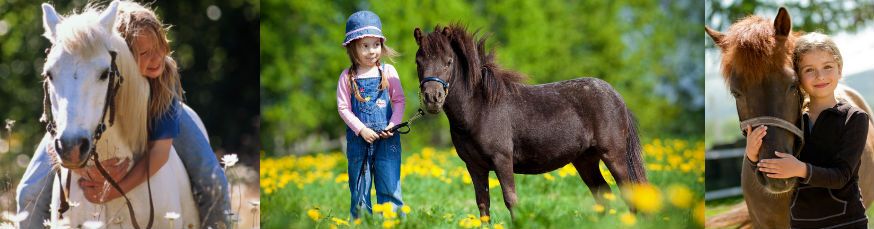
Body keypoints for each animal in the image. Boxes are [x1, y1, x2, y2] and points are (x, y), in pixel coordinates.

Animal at [410, 24, 648, 219]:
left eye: (448, 62)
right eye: (418, 61)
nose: (433, 98)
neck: (480, 108)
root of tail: (615, 95)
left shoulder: (502, 160)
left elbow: (511, 201)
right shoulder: (475, 166)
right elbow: (483, 205)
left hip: (613, 155)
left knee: (629, 194)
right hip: (585, 160)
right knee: (603, 194)